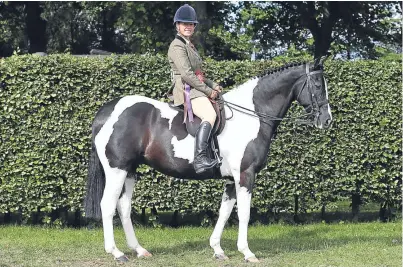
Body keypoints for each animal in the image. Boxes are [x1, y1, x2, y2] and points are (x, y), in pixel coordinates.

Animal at [83, 57, 332, 264]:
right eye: (318, 85)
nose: (327, 120)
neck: (253, 114)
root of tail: (106, 111)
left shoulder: (232, 179)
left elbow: (225, 212)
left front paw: (218, 250)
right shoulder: (245, 174)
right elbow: (244, 213)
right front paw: (247, 253)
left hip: (130, 170)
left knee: (123, 206)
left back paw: (139, 250)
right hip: (117, 169)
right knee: (107, 205)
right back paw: (116, 253)